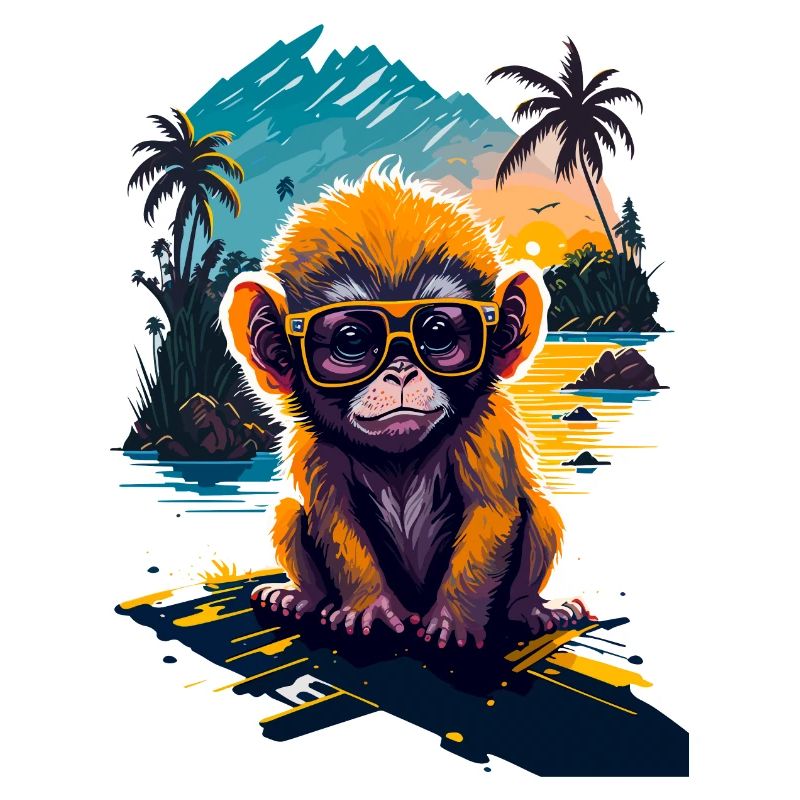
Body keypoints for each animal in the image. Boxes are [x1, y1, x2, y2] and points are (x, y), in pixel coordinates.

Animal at [221, 160, 590, 649]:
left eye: (437, 334)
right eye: (352, 341)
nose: (400, 371)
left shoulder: (487, 427)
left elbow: (491, 511)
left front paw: (454, 621)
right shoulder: (314, 447)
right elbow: (334, 517)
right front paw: (369, 608)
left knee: (538, 510)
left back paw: (528, 608)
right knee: (289, 513)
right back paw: (305, 598)